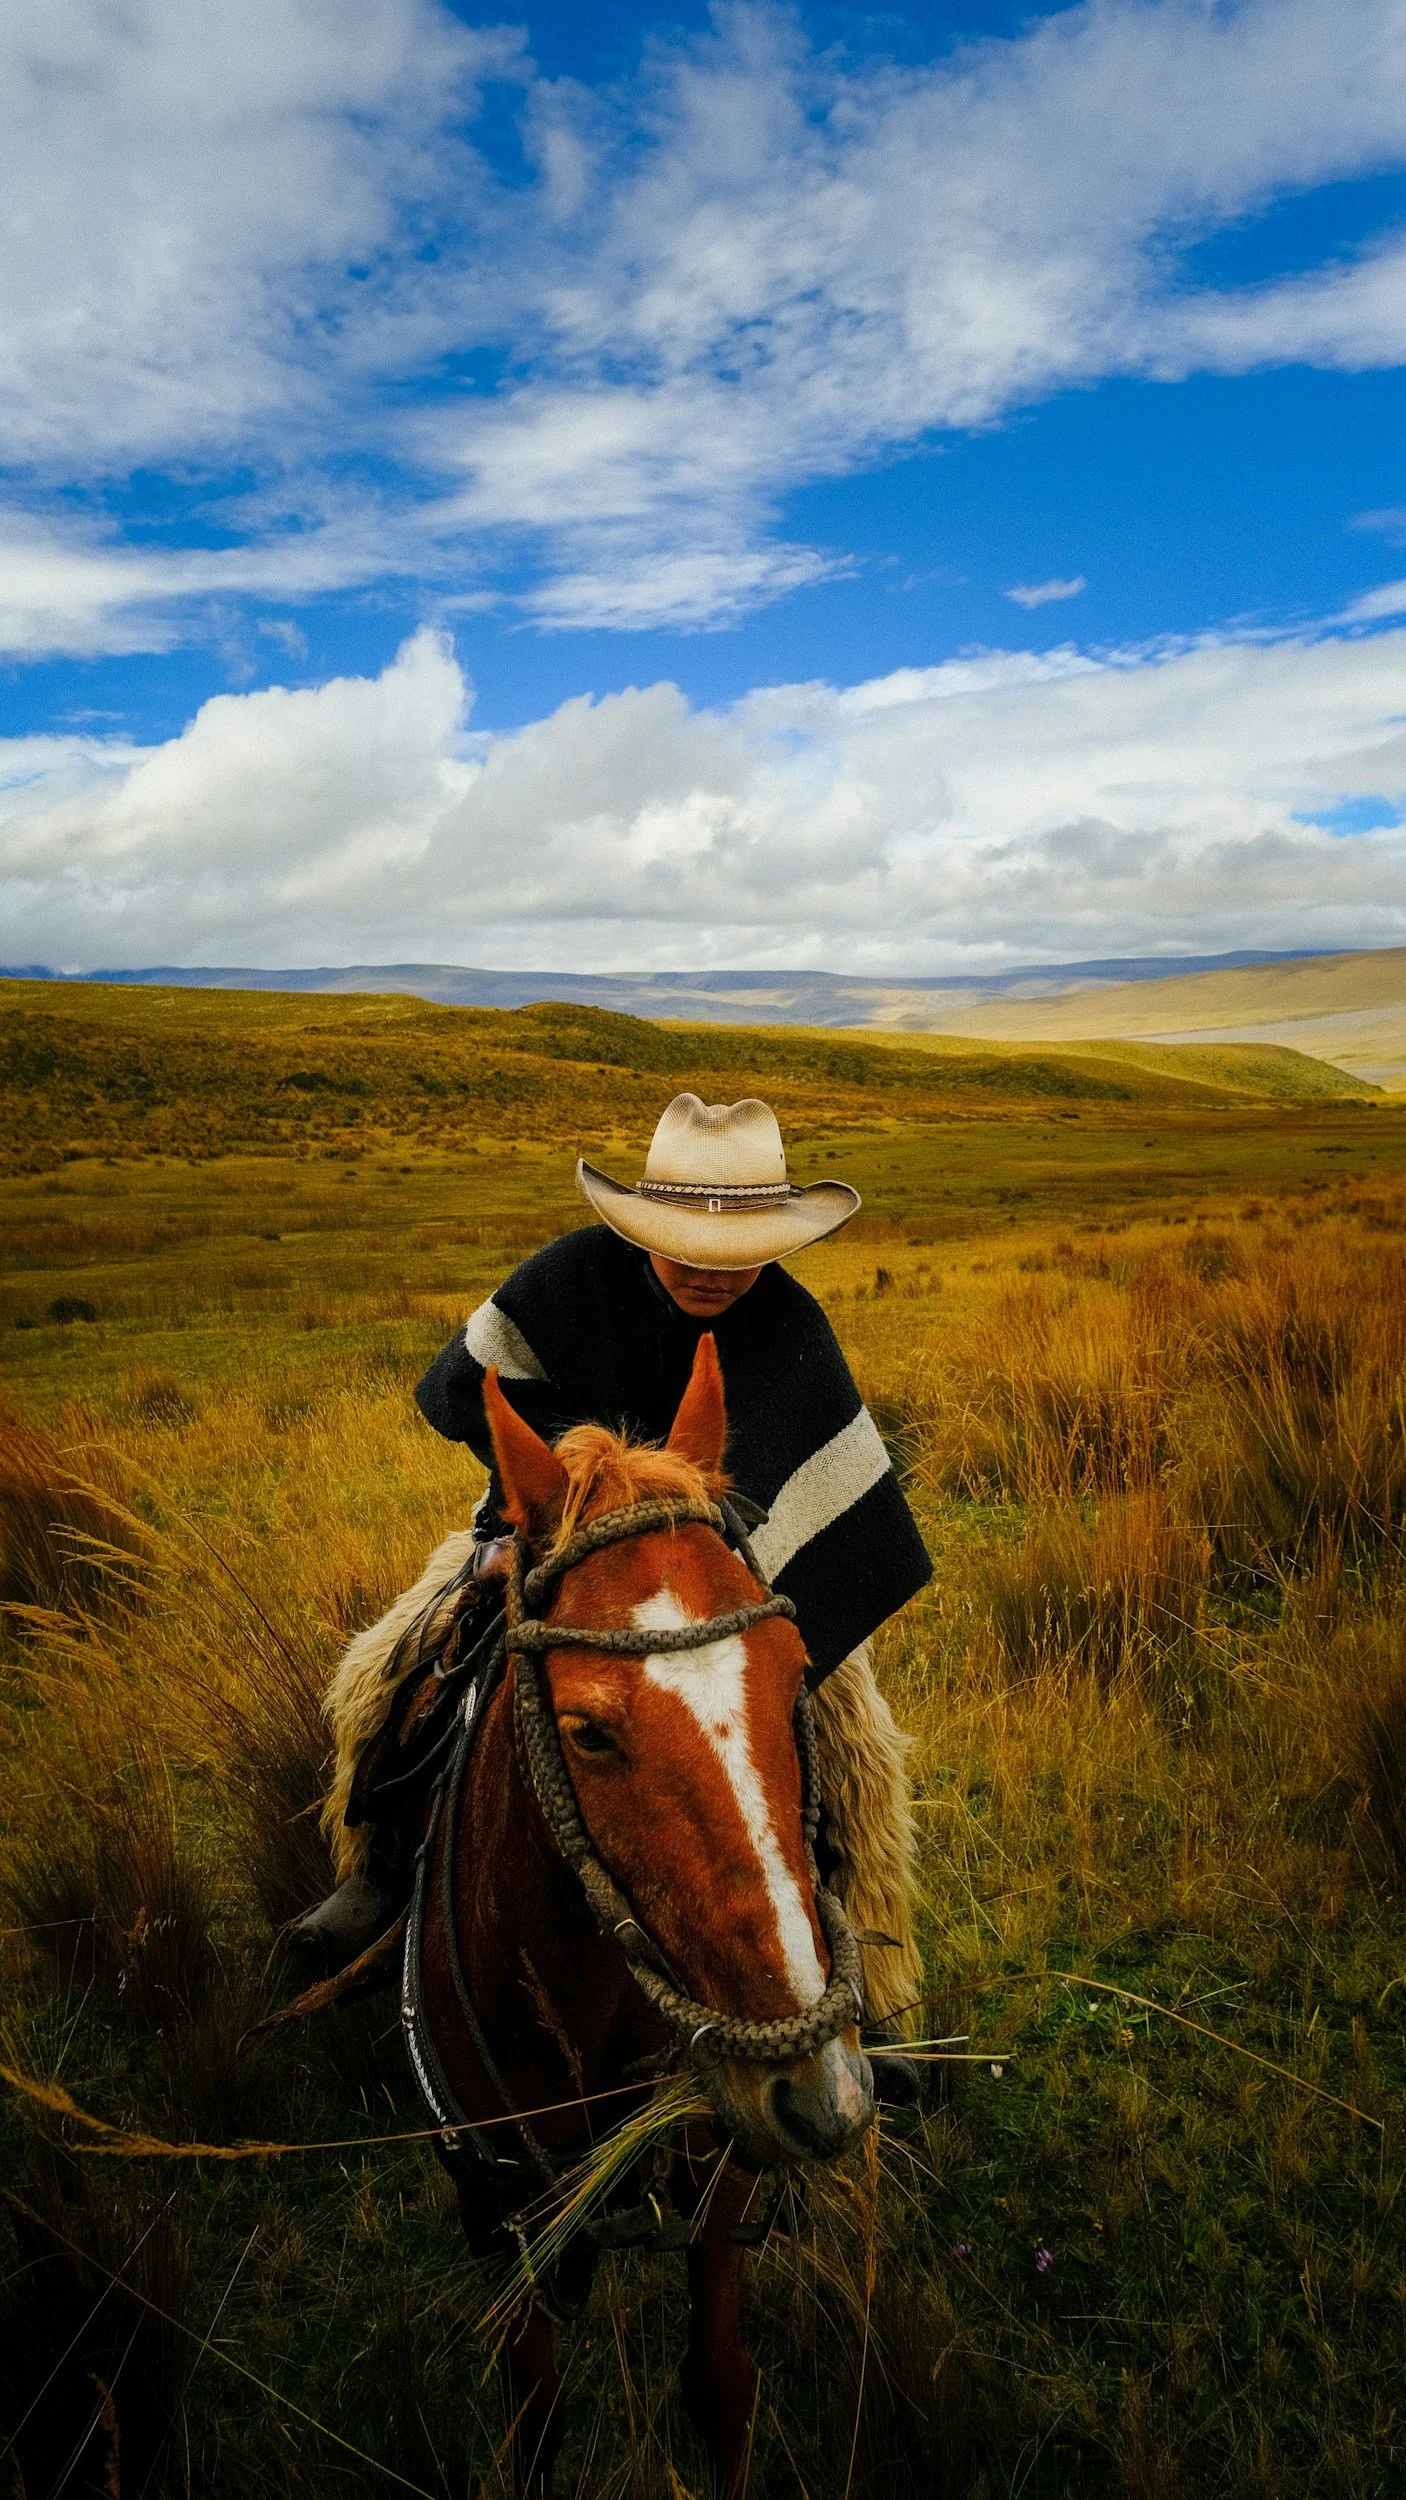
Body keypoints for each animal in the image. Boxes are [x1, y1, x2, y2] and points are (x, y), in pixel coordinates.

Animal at [403, 1332, 875, 2497]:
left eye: (795, 1672)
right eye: (585, 1729)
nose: (819, 2094)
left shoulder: (719, 2186)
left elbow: (719, 2388)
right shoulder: (505, 2226)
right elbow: (533, 2424)